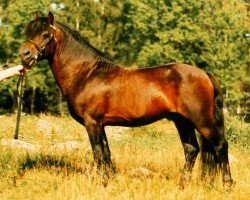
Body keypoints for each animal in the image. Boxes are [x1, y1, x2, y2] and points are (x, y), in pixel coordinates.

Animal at [19, 12, 232, 189]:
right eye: (28, 31)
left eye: (45, 34)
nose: (24, 55)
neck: (87, 74)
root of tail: (204, 74)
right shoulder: (101, 124)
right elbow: (106, 154)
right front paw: (109, 181)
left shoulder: (92, 123)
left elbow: (98, 153)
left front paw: (101, 184)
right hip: (182, 121)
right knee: (191, 150)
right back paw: (182, 185)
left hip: (202, 121)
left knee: (220, 146)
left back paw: (227, 185)